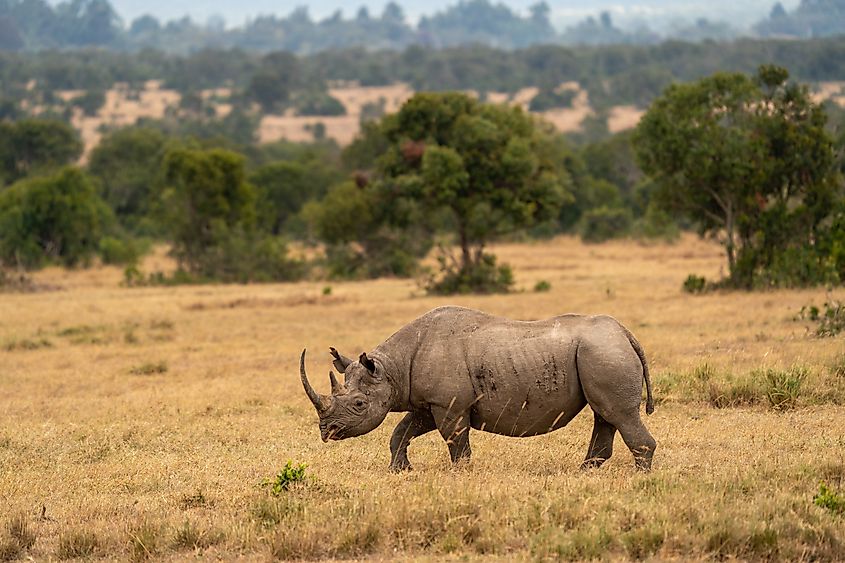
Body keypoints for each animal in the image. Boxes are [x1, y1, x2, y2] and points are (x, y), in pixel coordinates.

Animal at [300, 306, 656, 471]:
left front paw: (461, 474)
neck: (392, 369)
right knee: (605, 415)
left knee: (619, 414)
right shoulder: (429, 402)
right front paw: (400, 470)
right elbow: (401, 432)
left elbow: (456, 442)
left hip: (604, 352)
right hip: (601, 352)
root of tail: (626, 333)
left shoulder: (450, 404)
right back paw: (584, 473)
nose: (326, 431)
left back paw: (639, 478)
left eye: (359, 404)